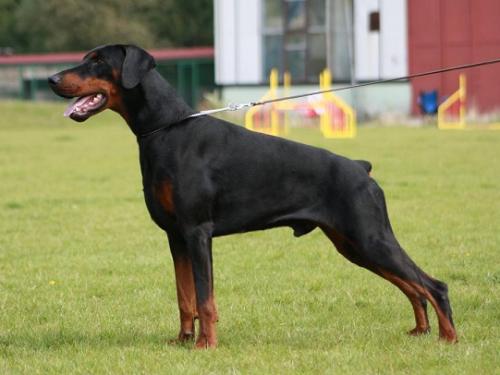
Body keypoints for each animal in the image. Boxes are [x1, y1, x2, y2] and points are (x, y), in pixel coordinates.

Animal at [48, 44, 458, 350]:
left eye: (98, 60)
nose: (52, 78)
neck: (166, 129)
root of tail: (361, 168)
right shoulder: (176, 236)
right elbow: (185, 296)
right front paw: (183, 340)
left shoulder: (197, 232)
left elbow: (205, 297)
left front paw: (206, 345)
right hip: (353, 245)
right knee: (412, 286)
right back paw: (420, 331)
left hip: (369, 236)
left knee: (432, 285)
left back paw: (448, 339)